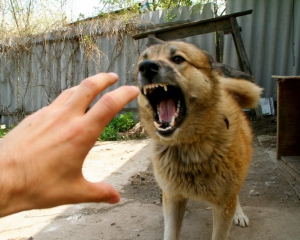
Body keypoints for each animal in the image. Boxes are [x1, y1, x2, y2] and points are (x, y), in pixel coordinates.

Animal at [134, 40, 262, 239]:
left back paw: (239, 214)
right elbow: (170, 232)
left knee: (237, 194)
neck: (189, 147)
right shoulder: (173, 198)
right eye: (143, 60)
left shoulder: (223, 205)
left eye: (178, 59)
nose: (146, 67)